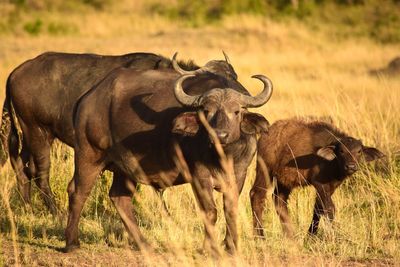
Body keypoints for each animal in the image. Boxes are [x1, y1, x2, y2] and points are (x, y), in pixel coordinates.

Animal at [0, 50, 236, 215]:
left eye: (232, 77)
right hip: (37, 132)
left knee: (22, 166)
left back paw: (28, 207)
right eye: (215, 81)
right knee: (40, 172)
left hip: (29, 135)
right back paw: (55, 212)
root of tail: (15, 73)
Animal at [250, 119, 384, 239]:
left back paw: (290, 236)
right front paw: (331, 236)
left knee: (279, 199)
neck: (331, 163)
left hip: (284, 180)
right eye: (341, 151)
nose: (351, 166)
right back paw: (260, 237)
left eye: (359, 151)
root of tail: (265, 134)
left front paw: (310, 236)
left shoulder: (331, 186)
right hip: (264, 170)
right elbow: (329, 208)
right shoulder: (319, 183)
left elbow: (318, 209)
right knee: (256, 195)